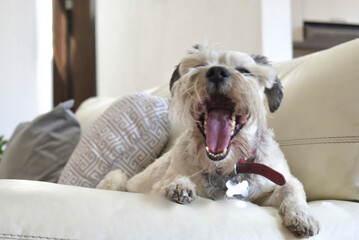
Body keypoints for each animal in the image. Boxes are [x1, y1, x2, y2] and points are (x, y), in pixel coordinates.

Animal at [97, 45, 320, 238]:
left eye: (244, 71)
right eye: (199, 65)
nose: (217, 72)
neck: (224, 167)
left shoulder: (267, 191)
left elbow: (291, 187)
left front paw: (303, 216)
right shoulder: (161, 181)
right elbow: (170, 180)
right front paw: (178, 185)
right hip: (116, 178)